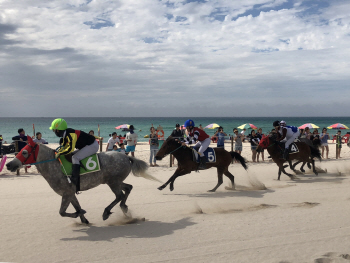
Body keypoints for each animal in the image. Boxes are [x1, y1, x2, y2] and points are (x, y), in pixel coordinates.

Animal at [6, 136, 159, 225]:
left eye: (24, 152)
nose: (9, 165)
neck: (54, 166)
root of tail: (126, 156)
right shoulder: (70, 193)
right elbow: (76, 207)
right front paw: (83, 218)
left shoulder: (66, 193)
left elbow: (62, 212)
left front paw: (81, 214)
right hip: (114, 181)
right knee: (128, 188)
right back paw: (124, 208)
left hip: (113, 182)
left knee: (119, 195)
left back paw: (107, 212)